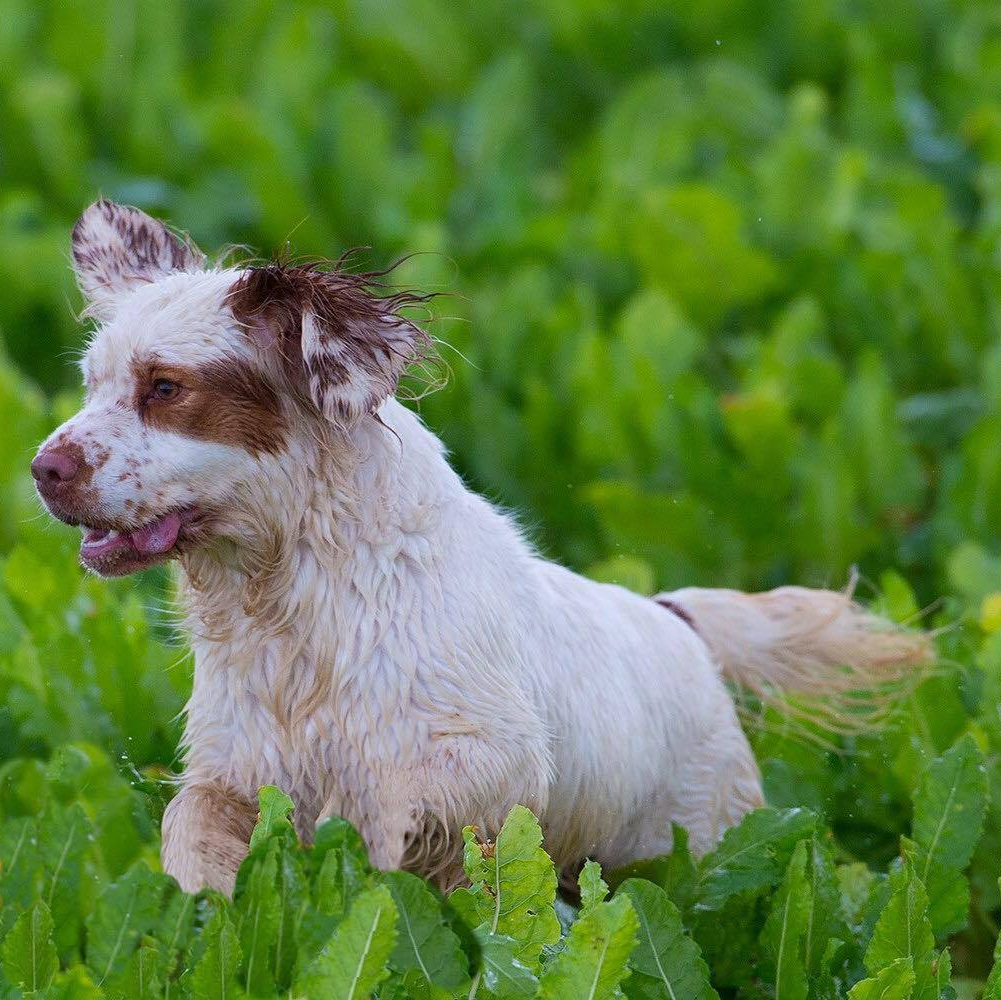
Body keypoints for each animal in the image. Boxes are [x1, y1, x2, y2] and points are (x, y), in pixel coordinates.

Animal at [33, 199, 928, 896]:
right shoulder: (236, 770)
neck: (296, 602)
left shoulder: (488, 767)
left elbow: (393, 818)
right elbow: (192, 832)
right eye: (90, 383)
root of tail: (674, 618)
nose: (44, 469)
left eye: (164, 387)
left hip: (698, 836)